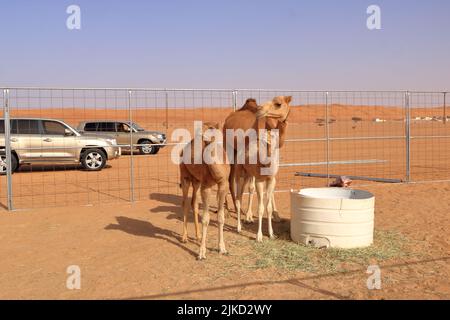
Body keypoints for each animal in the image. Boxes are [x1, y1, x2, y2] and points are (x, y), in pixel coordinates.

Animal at [179, 121, 230, 258]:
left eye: (213, 129)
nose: (203, 138)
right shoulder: (206, 186)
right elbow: (206, 219)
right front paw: (201, 252)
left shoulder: (223, 184)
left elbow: (220, 217)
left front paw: (222, 248)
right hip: (185, 176)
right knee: (185, 203)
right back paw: (184, 237)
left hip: (196, 181)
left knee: (194, 203)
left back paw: (197, 235)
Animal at [222, 96, 292, 241]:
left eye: (278, 104)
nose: (261, 110)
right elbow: (253, 190)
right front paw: (250, 219)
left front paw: (276, 217)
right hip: (230, 149)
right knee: (231, 180)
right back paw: (229, 212)